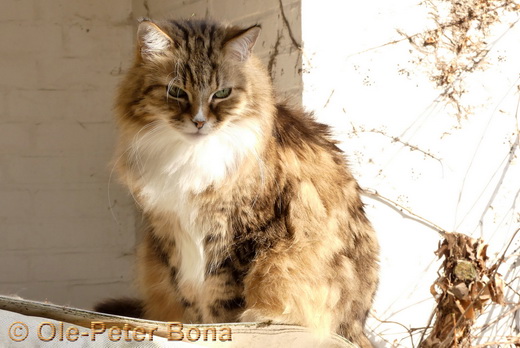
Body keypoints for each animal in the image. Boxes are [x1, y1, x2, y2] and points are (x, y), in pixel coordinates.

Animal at [95, 19, 378, 348]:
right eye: (176, 91)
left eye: (222, 93)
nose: (199, 122)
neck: (190, 156)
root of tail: (358, 330)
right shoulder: (172, 233)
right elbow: (190, 299)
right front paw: (189, 331)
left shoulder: (239, 236)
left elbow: (223, 303)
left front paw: (219, 332)